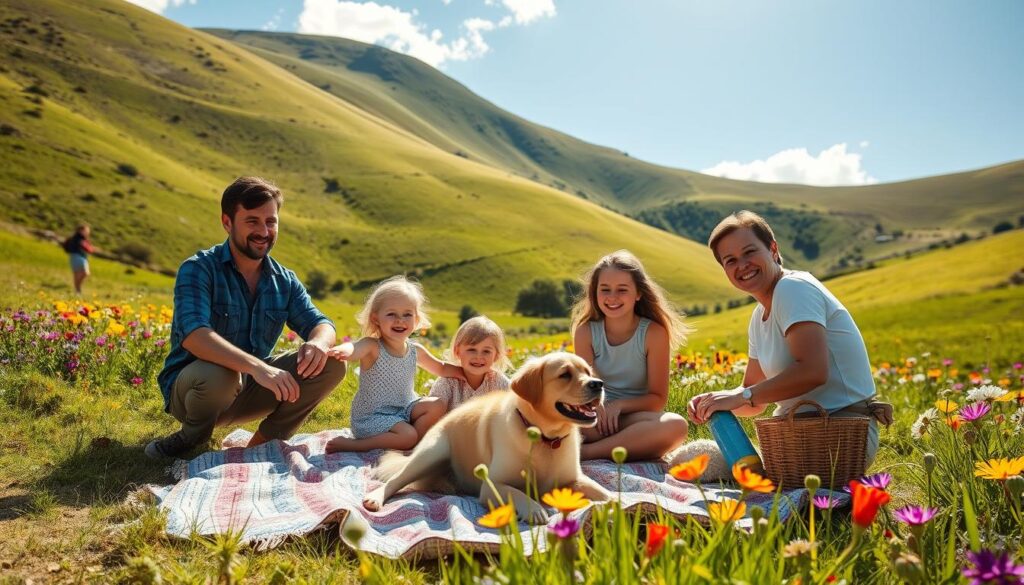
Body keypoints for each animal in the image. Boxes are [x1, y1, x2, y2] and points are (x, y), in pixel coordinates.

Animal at [364, 352, 610, 522]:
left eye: (588, 372)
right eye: (565, 375)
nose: (598, 384)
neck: (545, 438)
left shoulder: (574, 479)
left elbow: (603, 492)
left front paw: (614, 502)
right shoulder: (493, 486)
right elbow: (517, 493)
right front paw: (534, 508)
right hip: (431, 452)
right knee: (396, 480)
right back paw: (375, 498)